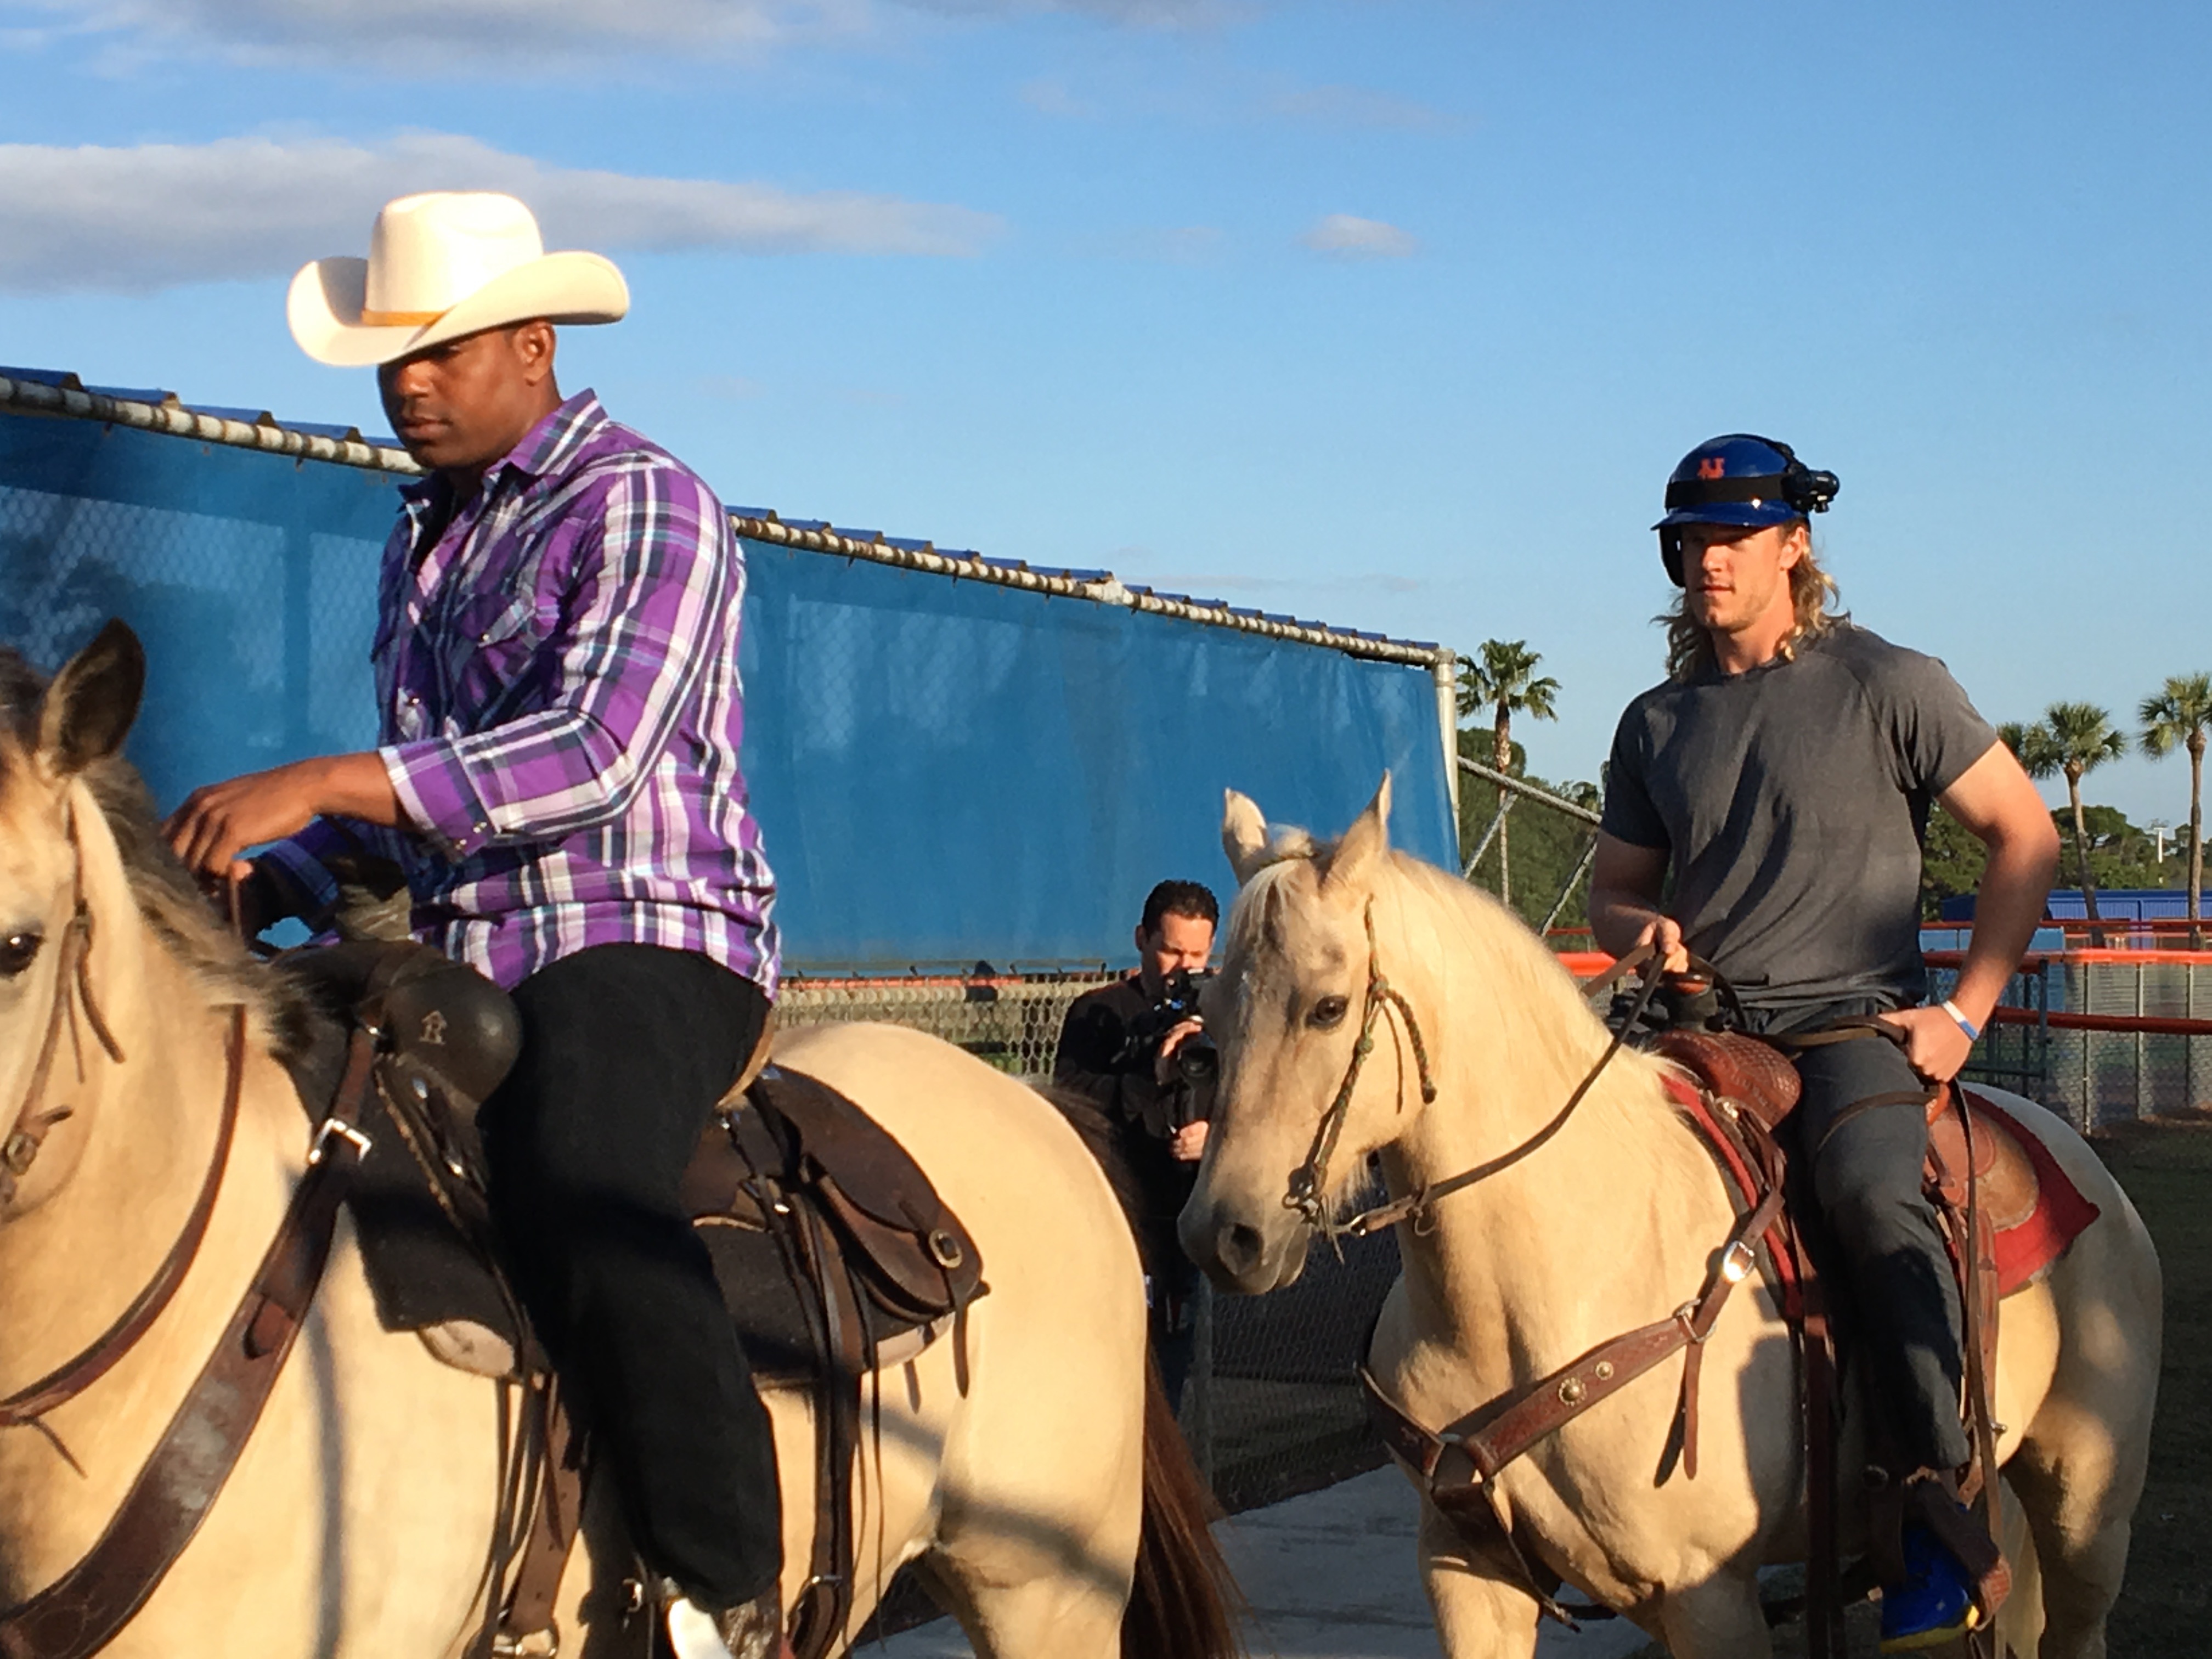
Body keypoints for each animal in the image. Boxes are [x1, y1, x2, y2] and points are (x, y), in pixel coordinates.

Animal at [1186, 783, 2168, 1659]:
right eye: (1210, 1012)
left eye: (1328, 1008)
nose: (1221, 1235)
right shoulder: (1467, 1574)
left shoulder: (1708, 1598)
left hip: (2087, 1512)